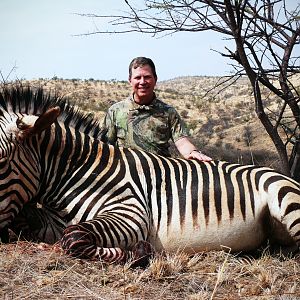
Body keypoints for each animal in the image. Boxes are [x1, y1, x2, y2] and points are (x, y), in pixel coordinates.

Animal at [0, 85, 298, 266]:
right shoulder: (52, 221)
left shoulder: (131, 213)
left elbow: (73, 238)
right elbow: (30, 222)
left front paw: (138, 252)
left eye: (1, 161)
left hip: (284, 199)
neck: (81, 171)